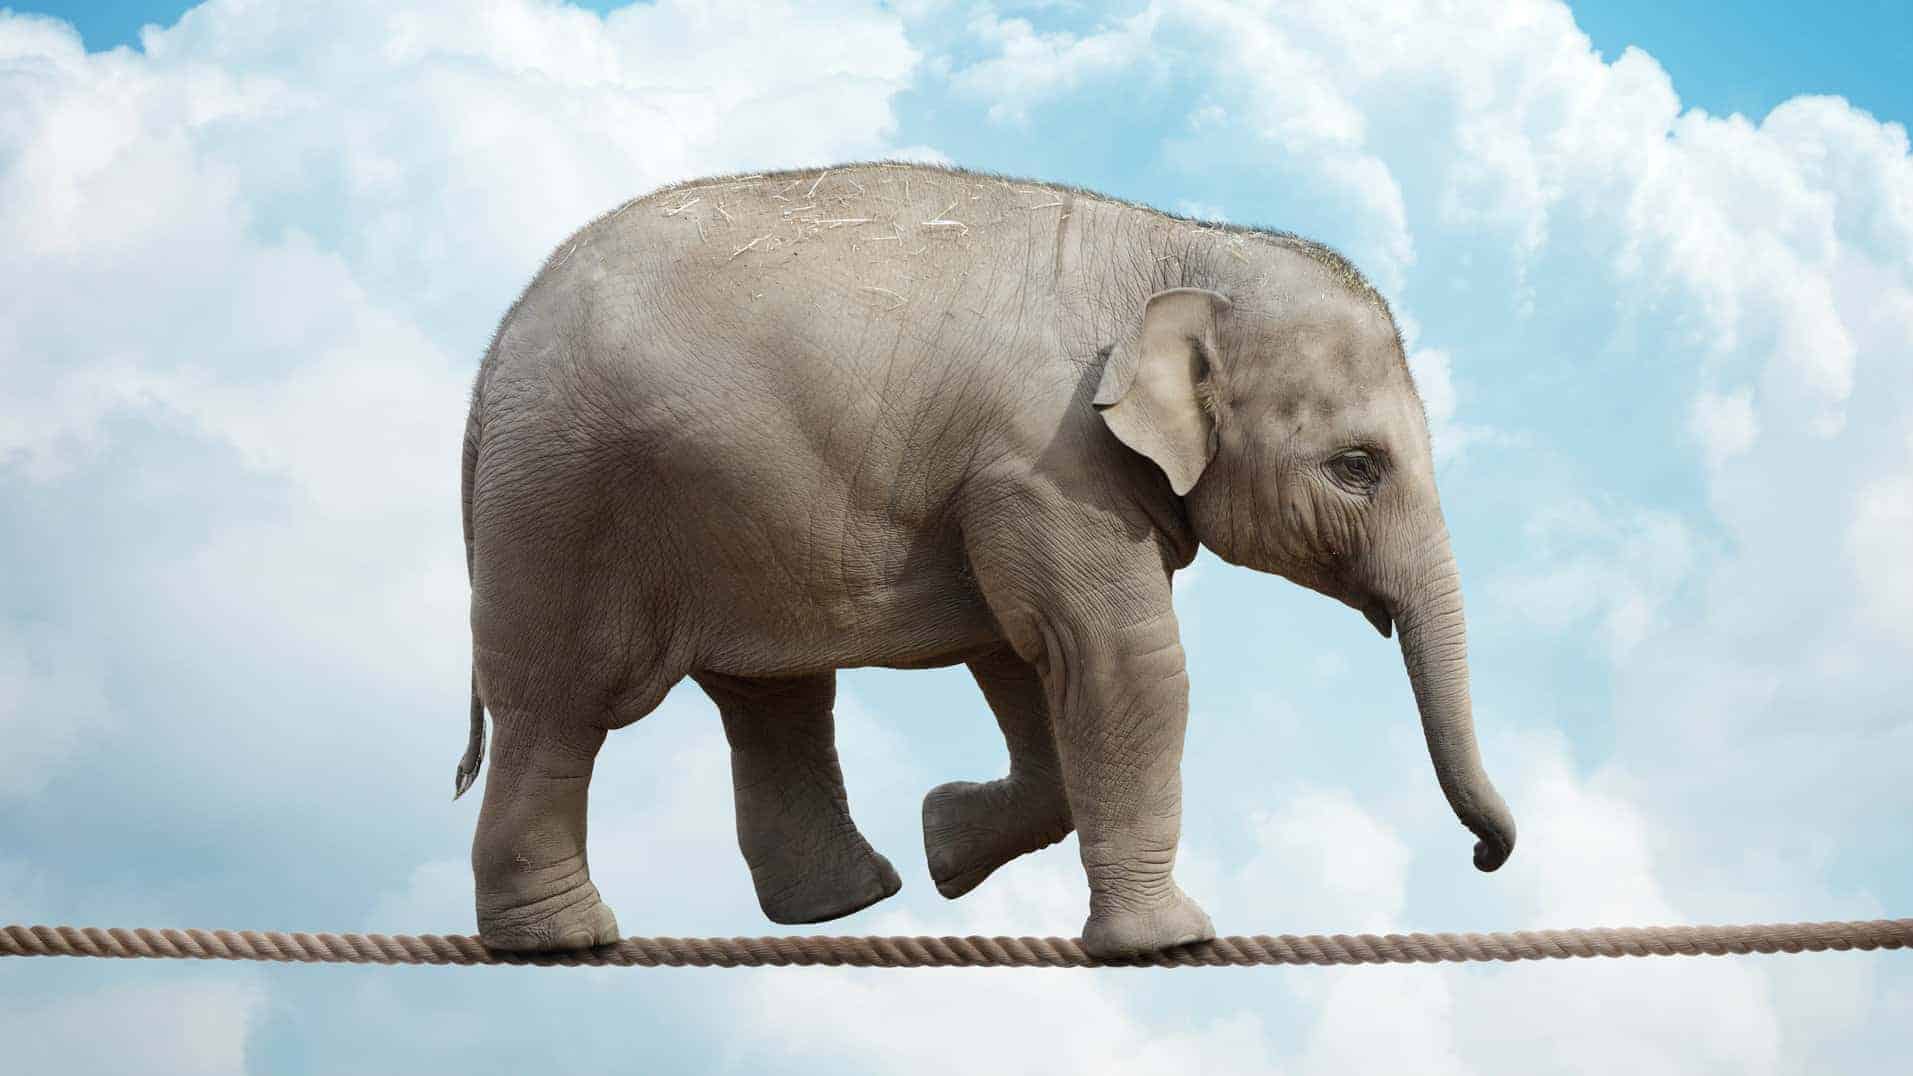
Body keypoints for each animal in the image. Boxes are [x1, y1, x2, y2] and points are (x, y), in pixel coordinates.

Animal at [453, 161, 1516, 958]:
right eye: (1356, 468)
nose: (1481, 859)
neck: (1180, 246)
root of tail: (490, 361)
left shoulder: (1009, 484)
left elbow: (1026, 655)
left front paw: (947, 844)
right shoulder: (1048, 461)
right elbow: (1119, 659)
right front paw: (1171, 939)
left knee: (772, 700)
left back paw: (850, 901)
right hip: (562, 510)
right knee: (559, 710)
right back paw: (566, 940)